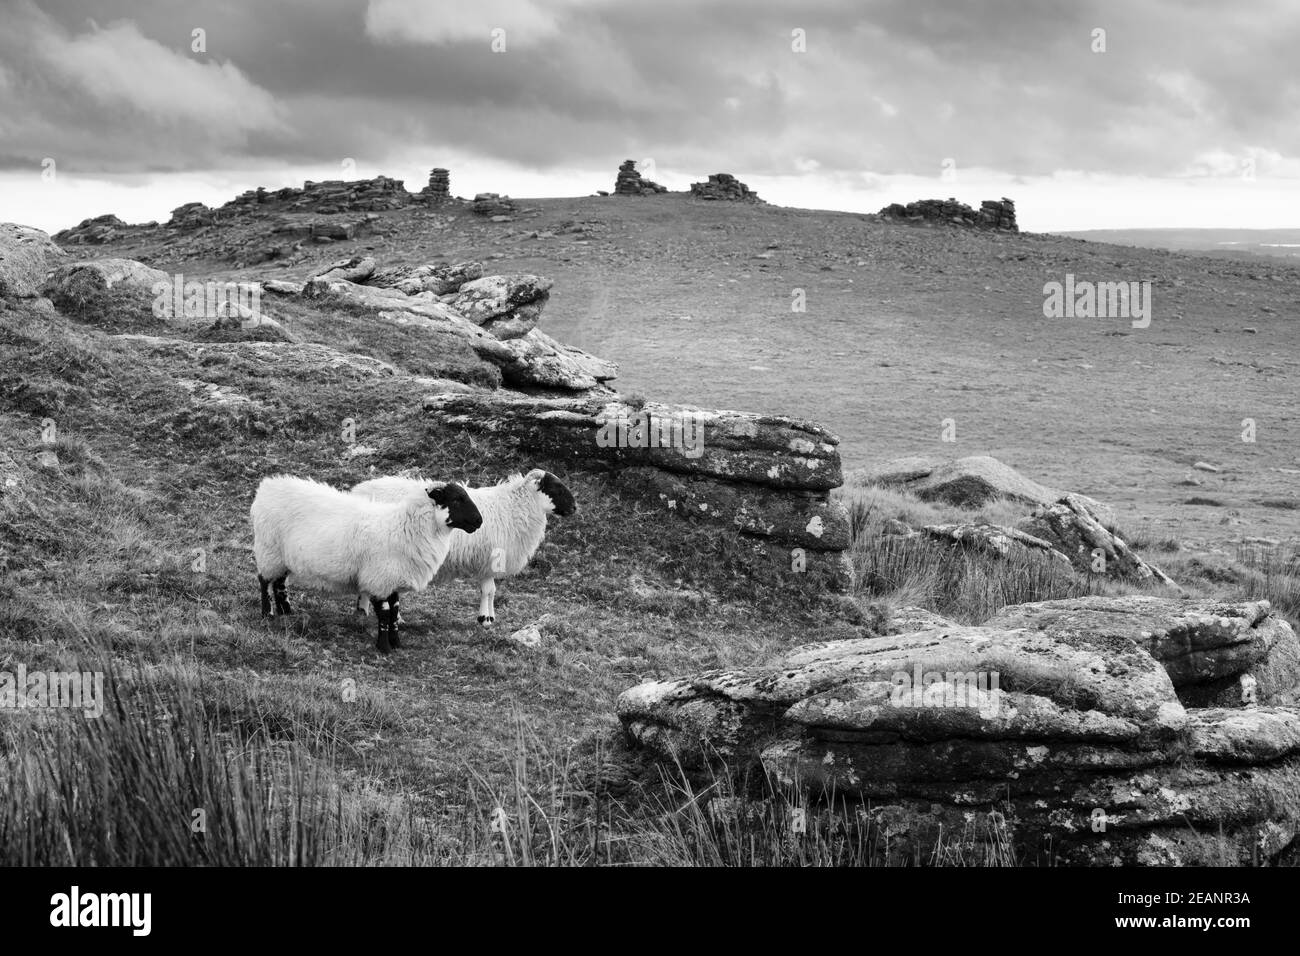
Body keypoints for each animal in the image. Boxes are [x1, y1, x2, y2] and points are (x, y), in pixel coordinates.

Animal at [250, 474, 482, 653]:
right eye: (457, 499)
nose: (479, 521)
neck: (403, 527)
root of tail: (267, 487)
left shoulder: (392, 578)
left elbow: (395, 611)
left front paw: (396, 643)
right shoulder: (378, 579)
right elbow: (386, 613)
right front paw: (384, 647)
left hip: (281, 557)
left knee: (279, 583)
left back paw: (286, 611)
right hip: (269, 550)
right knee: (264, 580)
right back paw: (267, 614)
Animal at [350, 468, 576, 627]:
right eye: (555, 487)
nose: (575, 508)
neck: (514, 507)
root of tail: (358, 489)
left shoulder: (488, 563)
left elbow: (492, 591)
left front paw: (491, 616)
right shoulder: (488, 560)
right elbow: (488, 590)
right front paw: (485, 619)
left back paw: (364, 611)